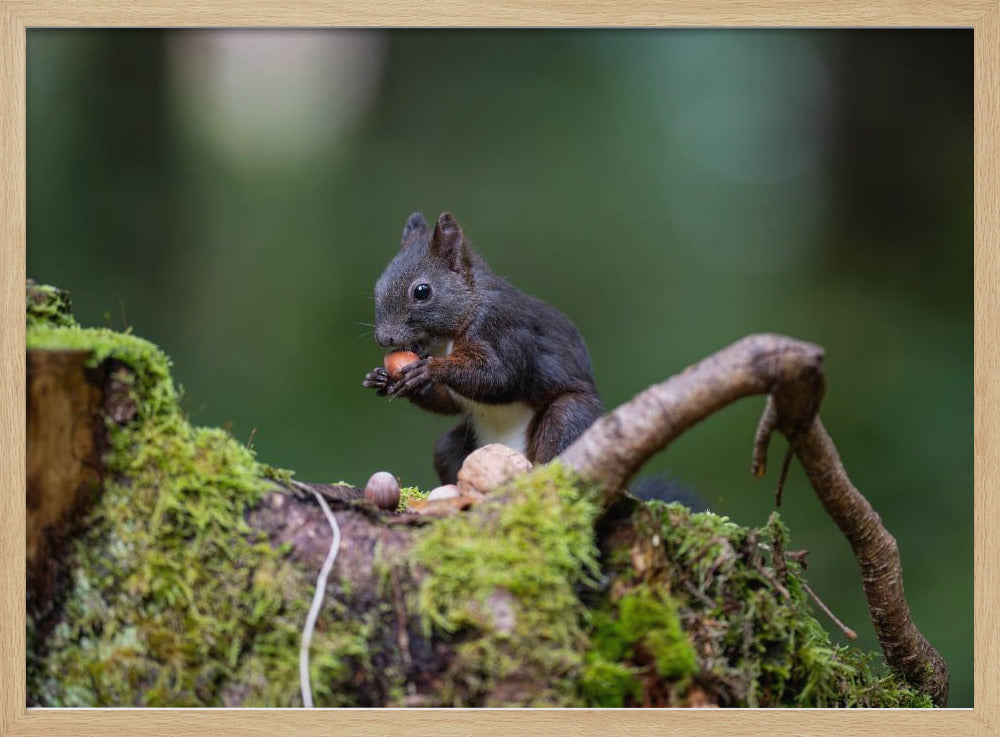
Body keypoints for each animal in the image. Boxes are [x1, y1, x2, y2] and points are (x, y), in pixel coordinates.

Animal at [362, 211, 604, 485]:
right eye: (377, 288)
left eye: (422, 291)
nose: (384, 338)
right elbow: (449, 403)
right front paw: (381, 378)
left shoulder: (502, 327)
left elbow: (503, 377)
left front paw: (432, 370)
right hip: (454, 447)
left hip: (569, 417)